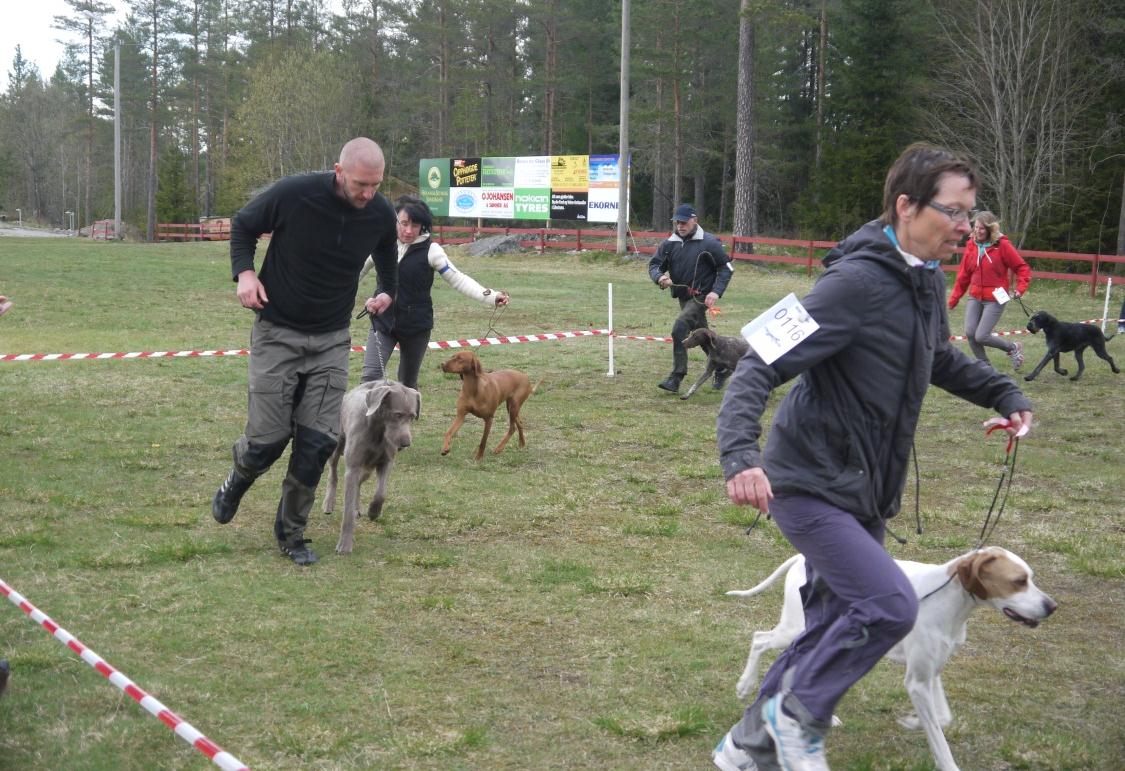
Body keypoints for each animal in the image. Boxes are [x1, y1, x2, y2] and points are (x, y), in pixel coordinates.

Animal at [326, 380, 423, 553]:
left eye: (412, 416)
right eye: (397, 415)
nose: (406, 443)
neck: (378, 430)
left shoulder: (386, 462)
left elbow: (380, 493)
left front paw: (373, 512)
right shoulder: (353, 468)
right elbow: (347, 510)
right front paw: (344, 545)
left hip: (368, 468)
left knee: (359, 484)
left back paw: (358, 508)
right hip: (338, 443)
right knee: (333, 472)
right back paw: (329, 503)